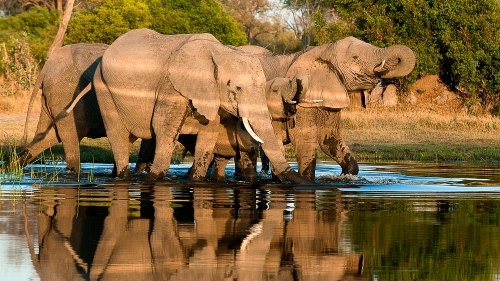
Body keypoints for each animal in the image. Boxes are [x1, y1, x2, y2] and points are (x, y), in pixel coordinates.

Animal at [90, 28, 308, 184]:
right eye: (237, 88)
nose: (308, 183)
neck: (219, 52)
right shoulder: (171, 85)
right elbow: (164, 128)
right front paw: (154, 179)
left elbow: (208, 133)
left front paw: (196, 180)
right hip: (102, 87)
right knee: (117, 135)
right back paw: (125, 178)